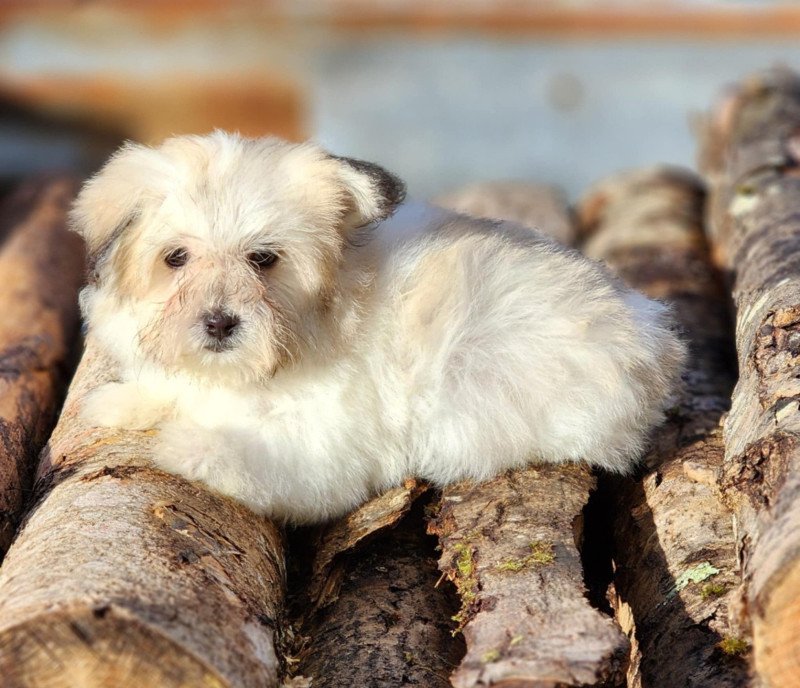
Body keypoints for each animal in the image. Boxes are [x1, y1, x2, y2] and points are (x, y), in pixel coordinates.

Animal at [72, 133, 688, 520]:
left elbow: (262, 462)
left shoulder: (326, 448)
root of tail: (651, 335)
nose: (220, 323)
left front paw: (191, 446)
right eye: (175, 259)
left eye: (263, 259)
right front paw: (121, 401)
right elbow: (164, 385)